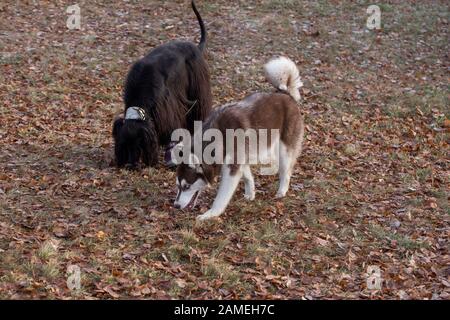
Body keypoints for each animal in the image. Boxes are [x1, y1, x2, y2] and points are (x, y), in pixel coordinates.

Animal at [111, 0, 212, 170]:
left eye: (137, 144)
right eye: (124, 144)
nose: (130, 165)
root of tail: (196, 47)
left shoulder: (167, 109)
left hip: (198, 90)